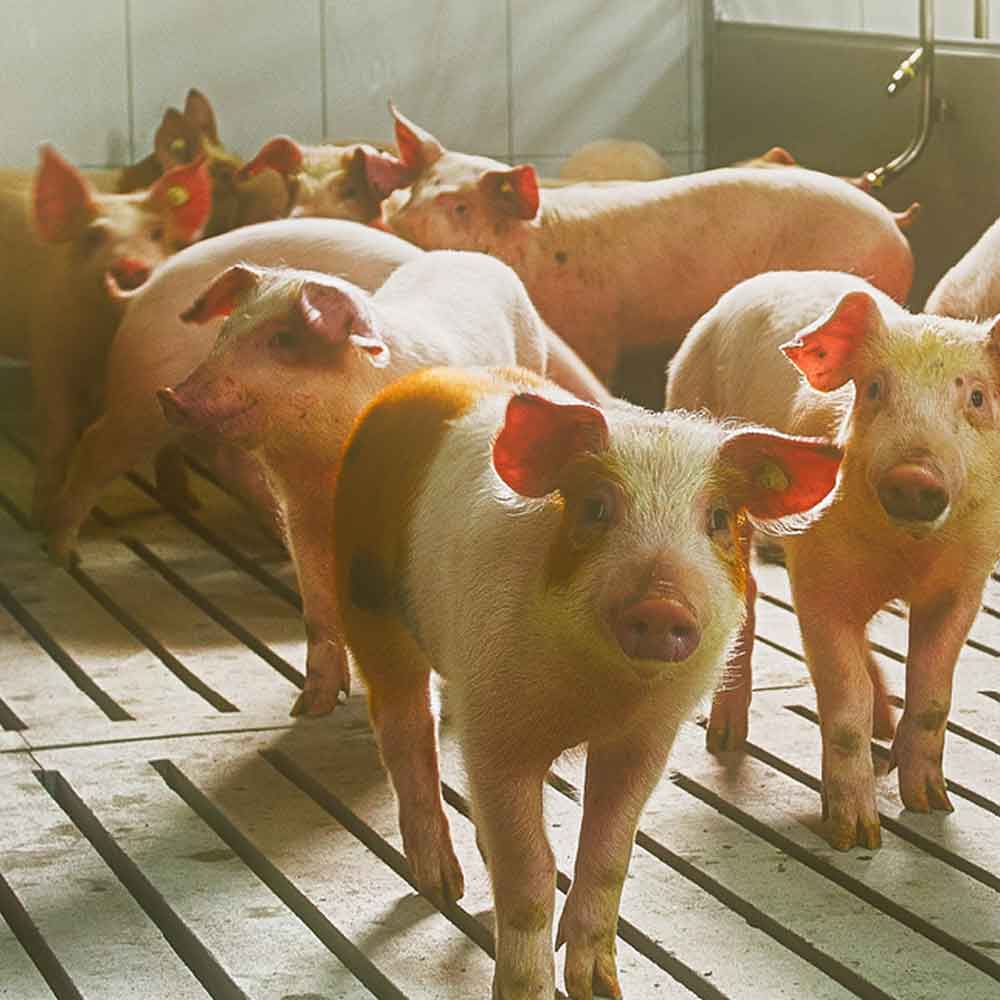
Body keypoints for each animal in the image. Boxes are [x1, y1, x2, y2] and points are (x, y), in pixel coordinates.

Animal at [0, 145, 212, 524]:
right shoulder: (48, 345)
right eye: (94, 235)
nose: (130, 265)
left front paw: (186, 504)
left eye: (157, 233)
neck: (105, 344)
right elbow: (59, 429)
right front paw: (40, 516)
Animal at [157, 250, 611, 717]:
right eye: (224, 332)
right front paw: (309, 707)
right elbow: (316, 608)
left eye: (283, 339)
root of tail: (473, 256)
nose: (171, 396)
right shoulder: (299, 511)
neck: (324, 458)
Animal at [334, 364, 842, 999]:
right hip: (366, 601)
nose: (662, 604)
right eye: (597, 508)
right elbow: (530, 870)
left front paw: (600, 988)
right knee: (405, 730)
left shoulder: (646, 740)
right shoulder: (497, 732)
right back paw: (443, 885)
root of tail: (415, 382)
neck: (599, 696)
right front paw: (526, 990)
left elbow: (608, 856)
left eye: (720, 519)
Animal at [373, 107, 914, 398]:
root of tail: (893, 222)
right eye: (416, 189)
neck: (537, 245)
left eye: (461, 207)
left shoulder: (595, 332)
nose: (390, 221)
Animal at [667, 269, 1000, 851]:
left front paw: (932, 805)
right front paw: (855, 838)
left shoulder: (965, 583)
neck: (904, 557)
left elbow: (933, 698)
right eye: (874, 389)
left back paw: (885, 727)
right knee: (747, 595)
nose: (914, 475)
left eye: (977, 397)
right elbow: (843, 706)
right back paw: (726, 739)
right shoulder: (816, 577)